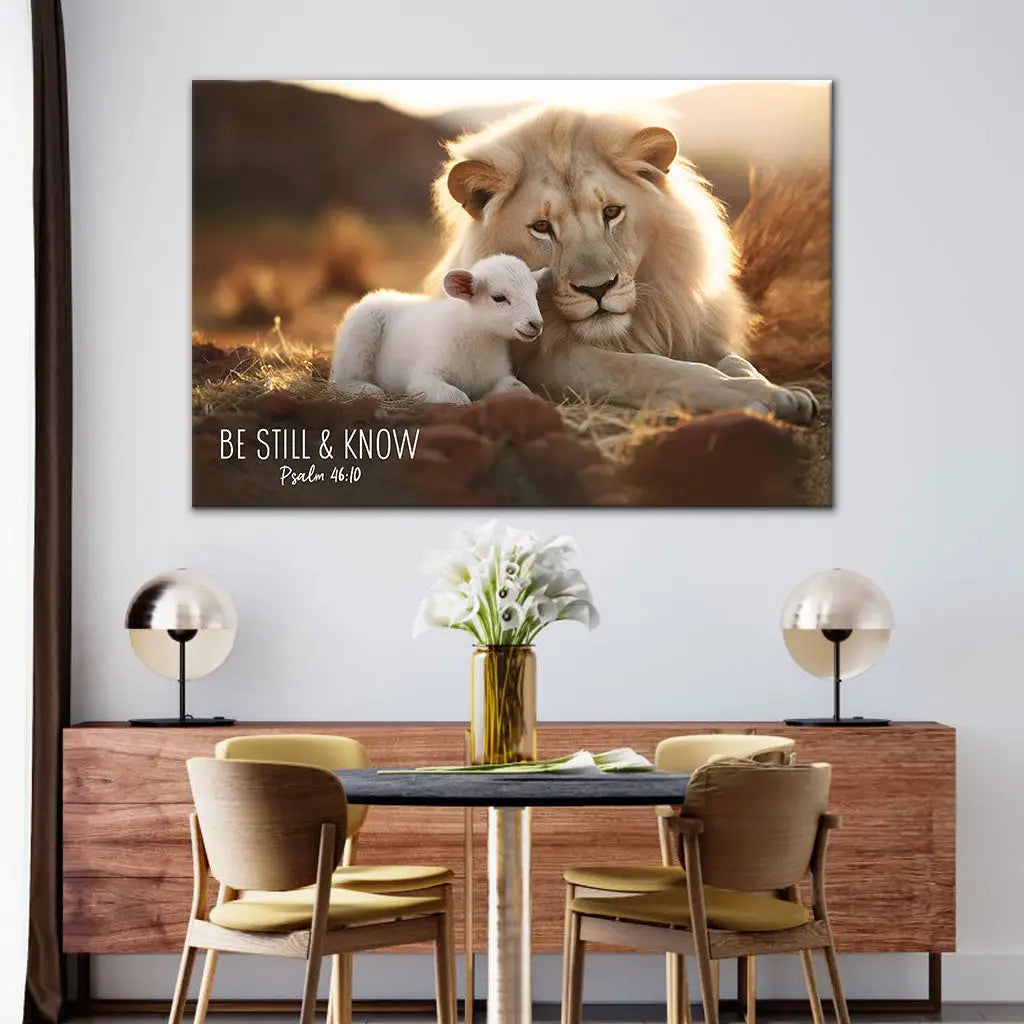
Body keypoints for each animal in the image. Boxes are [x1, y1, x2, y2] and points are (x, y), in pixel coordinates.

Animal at [330, 254, 549, 404]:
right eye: (499, 298)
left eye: (535, 293)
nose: (536, 324)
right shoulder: (424, 377)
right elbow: (458, 398)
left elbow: (518, 388)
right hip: (360, 331)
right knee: (339, 378)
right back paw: (367, 389)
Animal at [428, 107, 818, 424]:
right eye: (542, 227)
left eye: (612, 212)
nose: (597, 288)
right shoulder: (544, 360)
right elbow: (645, 367)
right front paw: (747, 395)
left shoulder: (683, 323)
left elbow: (737, 361)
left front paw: (779, 391)